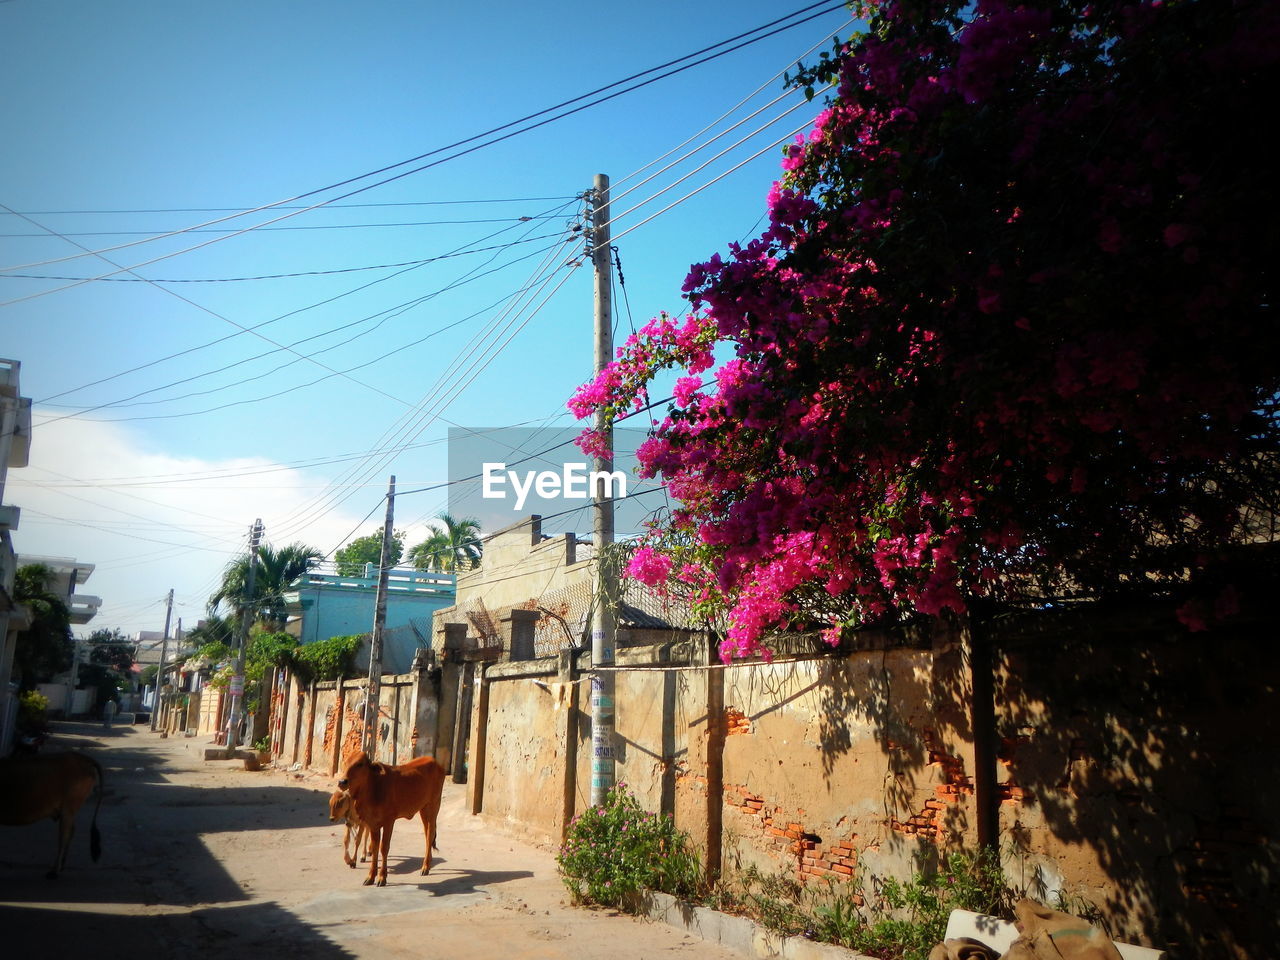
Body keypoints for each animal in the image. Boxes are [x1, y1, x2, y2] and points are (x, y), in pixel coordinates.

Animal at [0, 752, 103, 880]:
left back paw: (54, 871)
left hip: (68, 808)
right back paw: (61, 865)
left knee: (64, 837)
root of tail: (85, 759)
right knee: (70, 832)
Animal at [340, 757, 445, 890]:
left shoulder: (389, 821)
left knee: (430, 835)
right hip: (423, 809)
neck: (374, 787)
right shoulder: (373, 824)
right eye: (345, 761)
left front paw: (382, 878)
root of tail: (433, 760)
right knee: (427, 835)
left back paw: (425, 867)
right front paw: (370, 877)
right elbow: (374, 848)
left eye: (360, 764)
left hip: (433, 806)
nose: (342, 781)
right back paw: (428, 865)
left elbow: (384, 848)